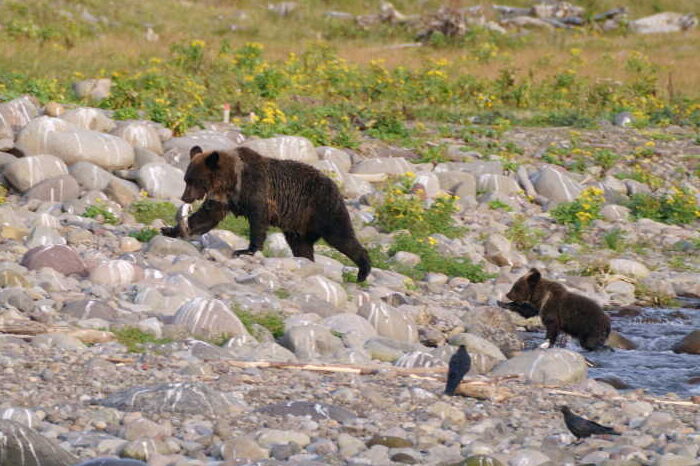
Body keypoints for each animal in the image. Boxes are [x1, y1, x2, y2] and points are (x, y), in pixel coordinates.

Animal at [161, 146, 372, 280]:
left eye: (193, 180)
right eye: (186, 179)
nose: (185, 197)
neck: (232, 182)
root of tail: (336, 186)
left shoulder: (257, 191)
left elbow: (258, 222)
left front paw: (246, 250)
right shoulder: (222, 200)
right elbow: (206, 217)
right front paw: (170, 229)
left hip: (323, 207)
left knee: (341, 235)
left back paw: (363, 271)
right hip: (298, 225)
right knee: (302, 246)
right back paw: (306, 262)